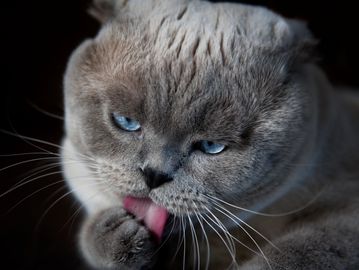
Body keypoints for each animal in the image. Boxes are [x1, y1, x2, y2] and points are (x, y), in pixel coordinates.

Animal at [61, 0, 359, 268]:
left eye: (211, 147)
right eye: (126, 122)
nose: (154, 175)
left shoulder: (345, 212)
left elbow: (296, 253)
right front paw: (120, 235)